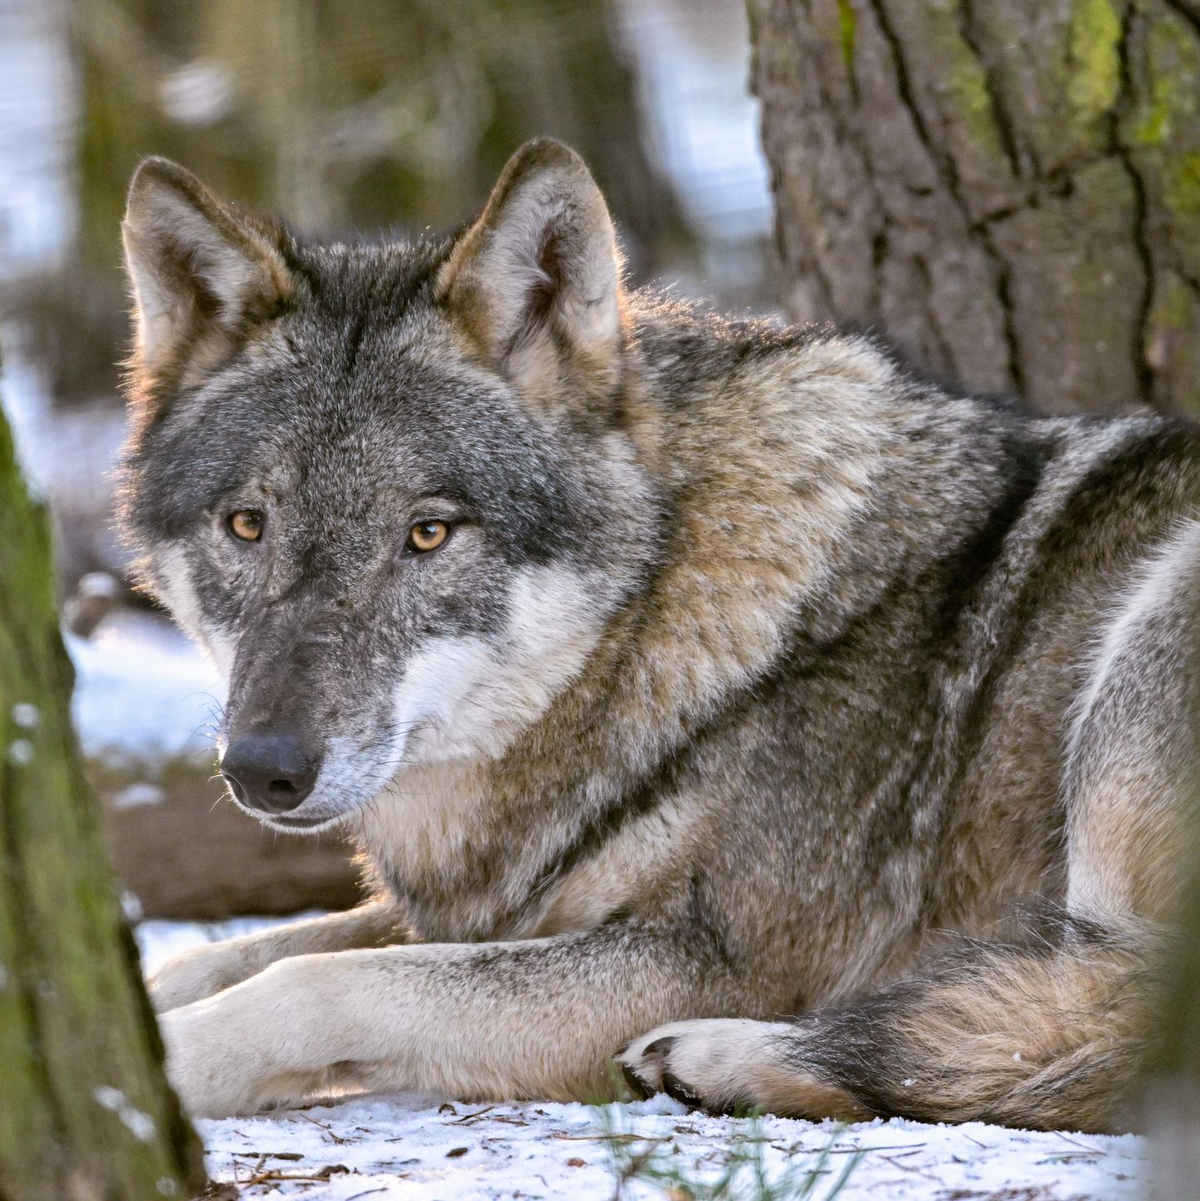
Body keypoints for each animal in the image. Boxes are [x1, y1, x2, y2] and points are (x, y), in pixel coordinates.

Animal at [119, 139, 1200, 1130]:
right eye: (247, 525)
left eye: (427, 532)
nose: (262, 768)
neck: (653, 624)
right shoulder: (507, 906)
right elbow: (229, 953)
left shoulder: (703, 958)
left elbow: (316, 980)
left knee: (1108, 1011)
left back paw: (726, 1059)